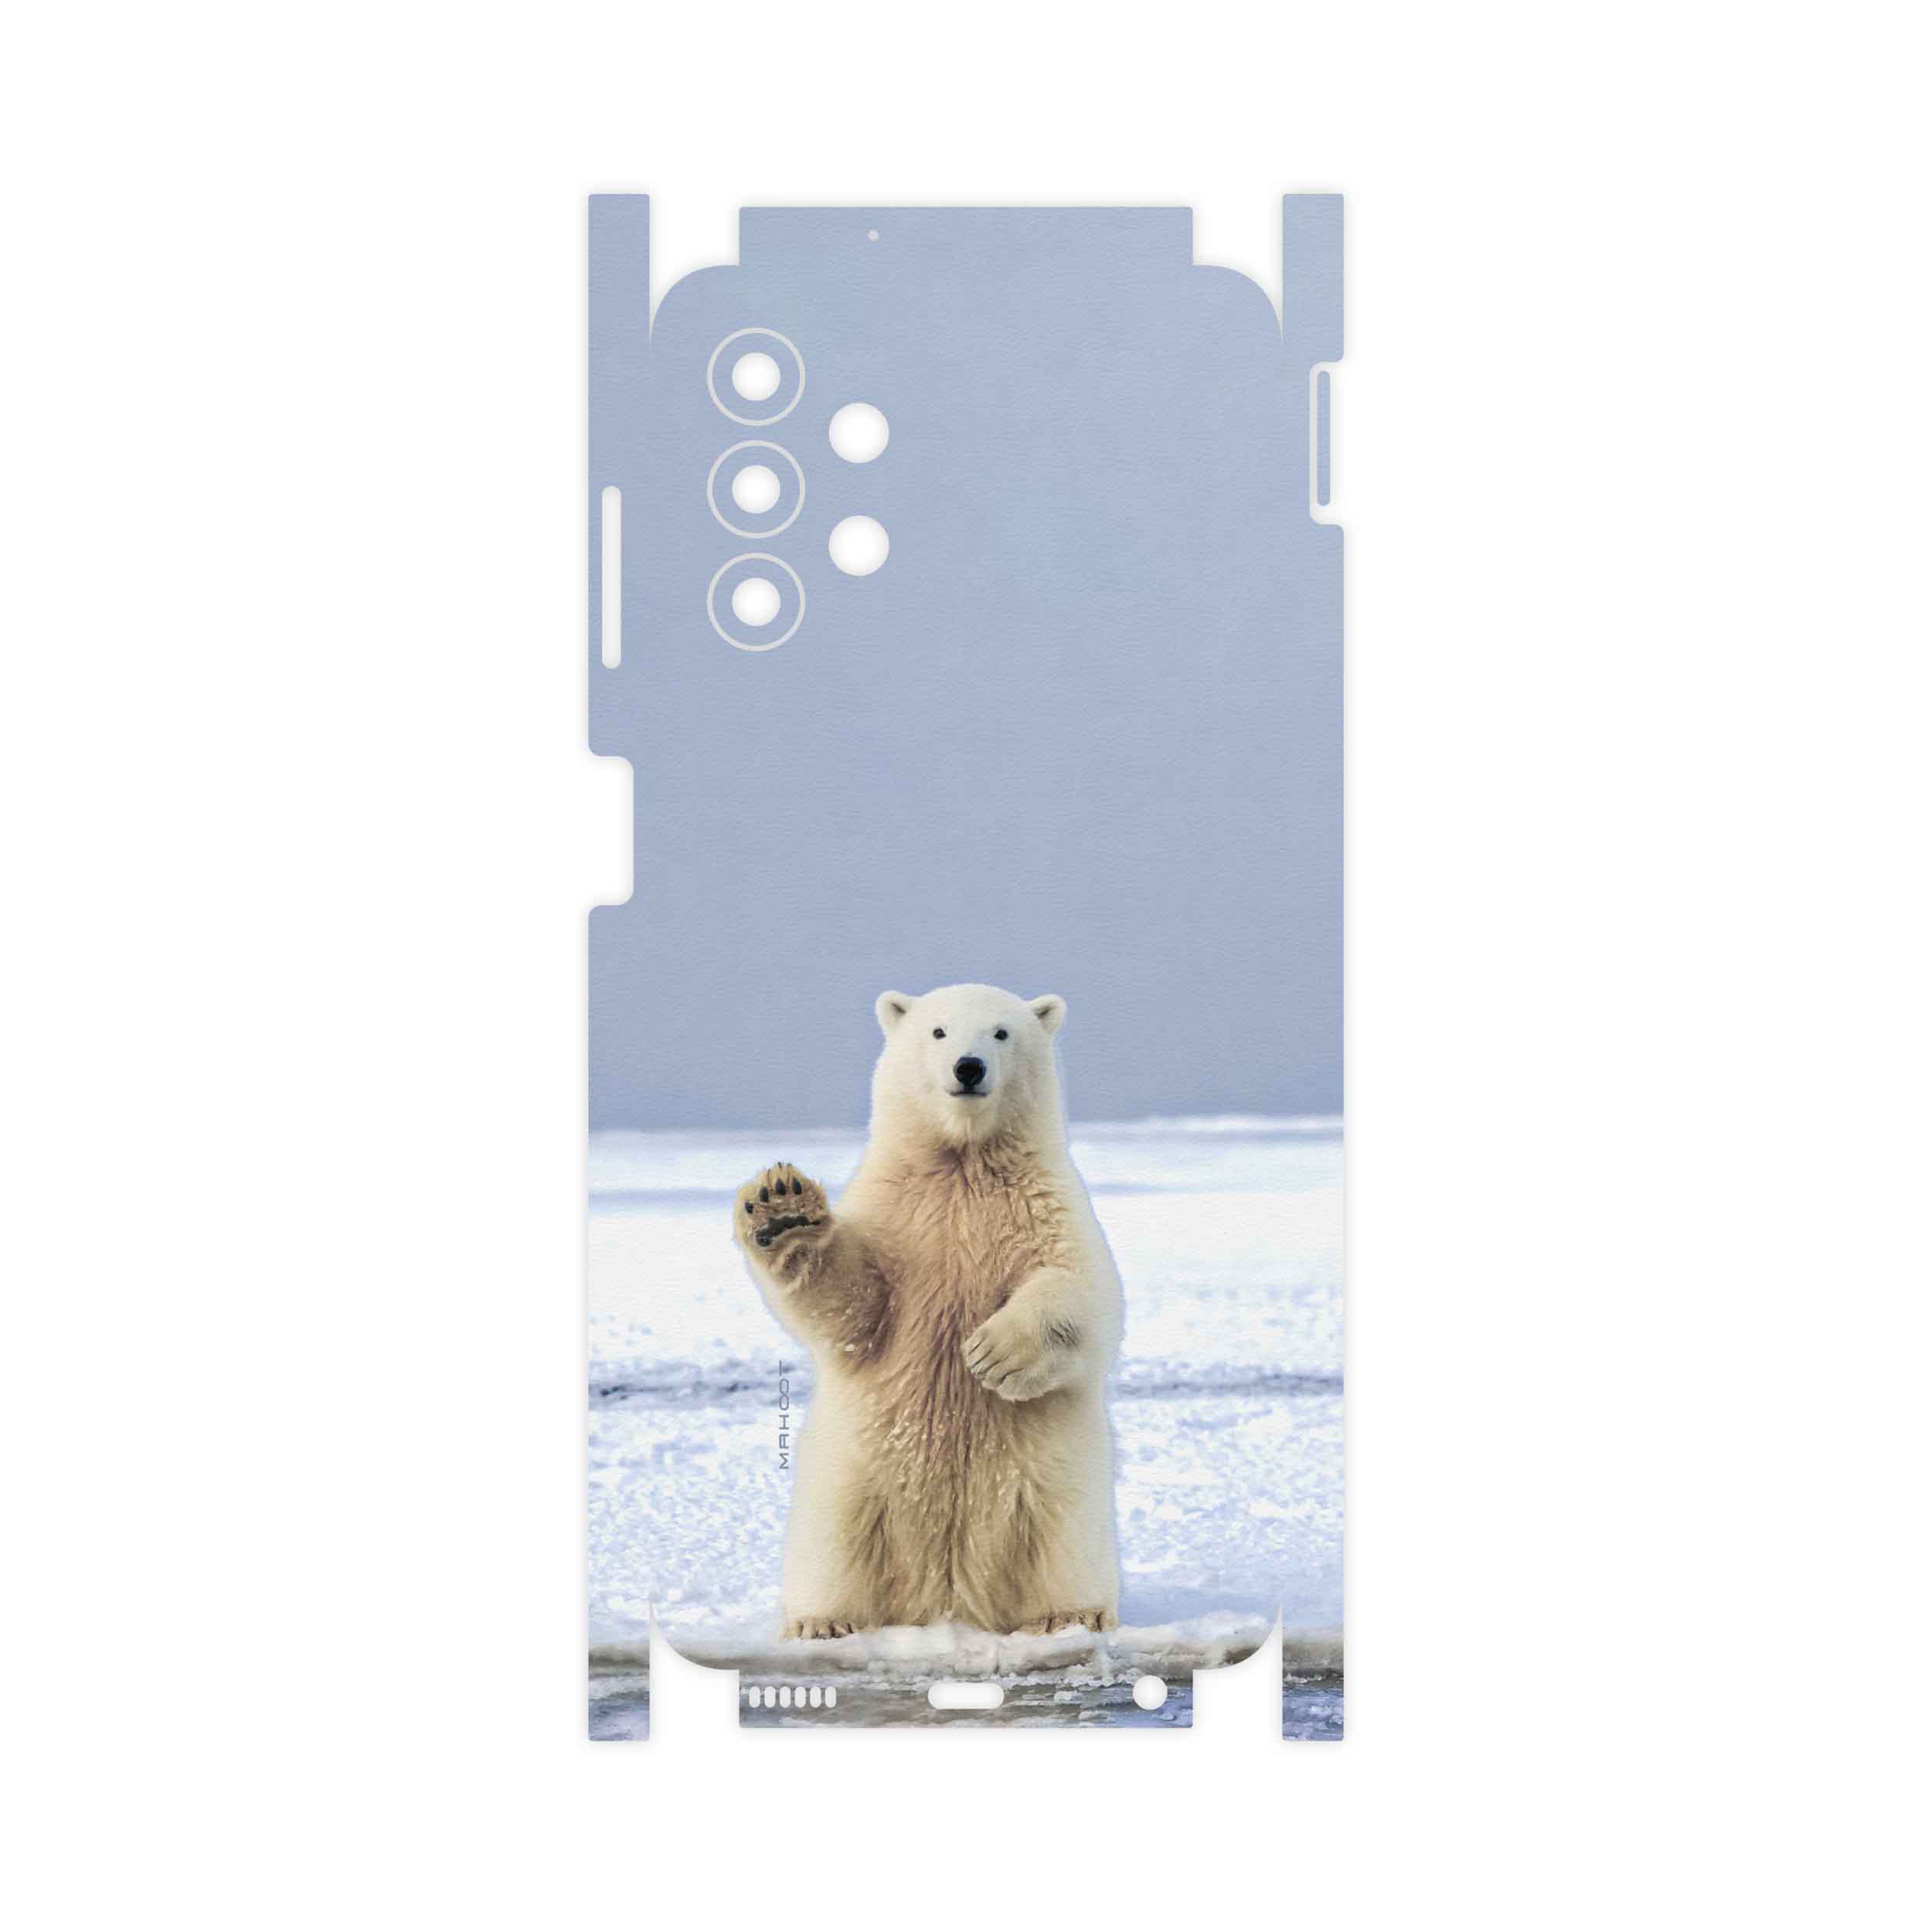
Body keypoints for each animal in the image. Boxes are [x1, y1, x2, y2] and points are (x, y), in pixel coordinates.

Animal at [733, 983, 1123, 1640]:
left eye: (1001, 1032)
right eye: (939, 1031)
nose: (969, 1068)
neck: (963, 1162)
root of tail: (947, 1601)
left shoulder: (1045, 1205)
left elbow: (1083, 1290)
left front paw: (992, 1353)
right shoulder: (899, 1214)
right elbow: (855, 1305)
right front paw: (782, 1209)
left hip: (1056, 1486)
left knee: (1062, 1542)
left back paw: (1070, 1615)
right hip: (851, 1482)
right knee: (835, 1546)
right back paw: (822, 1621)